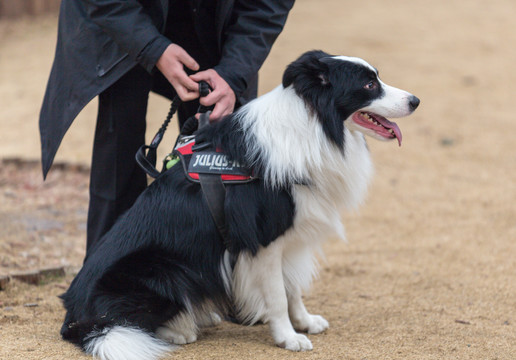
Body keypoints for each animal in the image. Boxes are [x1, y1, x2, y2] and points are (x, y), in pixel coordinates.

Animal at [61, 49, 420, 358]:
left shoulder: (288, 236)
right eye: (369, 84)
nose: (416, 100)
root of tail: (75, 316)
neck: (315, 127)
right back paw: (180, 329)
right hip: (163, 271)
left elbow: (293, 287)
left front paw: (303, 322)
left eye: (376, 77)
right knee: (129, 323)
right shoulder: (264, 238)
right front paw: (288, 337)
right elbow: (278, 294)